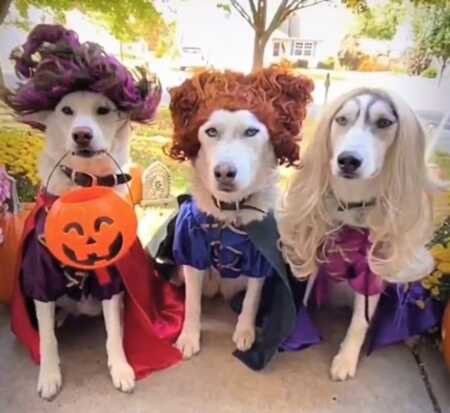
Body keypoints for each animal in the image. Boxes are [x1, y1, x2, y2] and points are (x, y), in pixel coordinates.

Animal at [3, 24, 183, 398]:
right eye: (66, 110)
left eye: (103, 110)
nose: (82, 135)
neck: (84, 192)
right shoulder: (40, 279)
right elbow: (46, 337)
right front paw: (49, 375)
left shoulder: (111, 278)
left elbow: (114, 331)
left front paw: (122, 368)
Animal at [158, 68, 312, 370]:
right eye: (211, 131)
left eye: (251, 131)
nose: (224, 172)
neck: (229, 214)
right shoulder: (191, 254)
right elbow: (192, 303)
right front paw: (189, 336)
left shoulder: (260, 261)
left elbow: (251, 301)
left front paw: (245, 332)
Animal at [280, 87, 442, 380]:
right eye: (342, 119)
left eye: (384, 122)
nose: (348, 160)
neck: (352, 206)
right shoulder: (313, 247)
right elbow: (302, 295)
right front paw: (294, 334)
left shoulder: (374, 270)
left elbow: (359, 323)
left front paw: (346, 359)